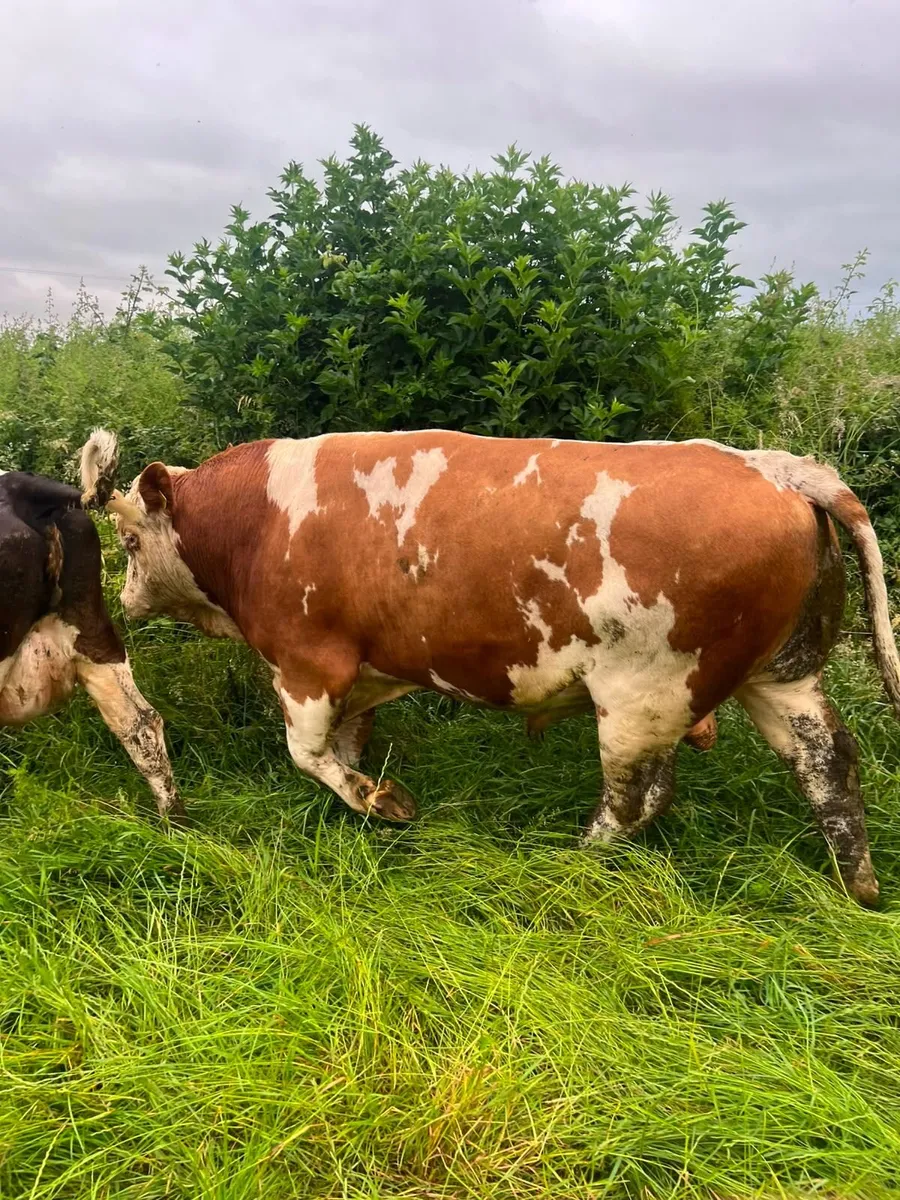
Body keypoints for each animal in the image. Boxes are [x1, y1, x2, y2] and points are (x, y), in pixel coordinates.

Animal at [80, 428, 900, 906]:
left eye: (128, 541)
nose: (123, 596)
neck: (254, 520)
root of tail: (778, 467)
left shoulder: (308, 659)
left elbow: (307, 752)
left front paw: (383, 803)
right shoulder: (365, 668)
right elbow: (347, 742)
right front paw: (364, 802)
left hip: (645, 694)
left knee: (637, 798)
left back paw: (570, 862)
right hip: (782, 675)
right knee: (829, 762)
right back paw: (857, 884)